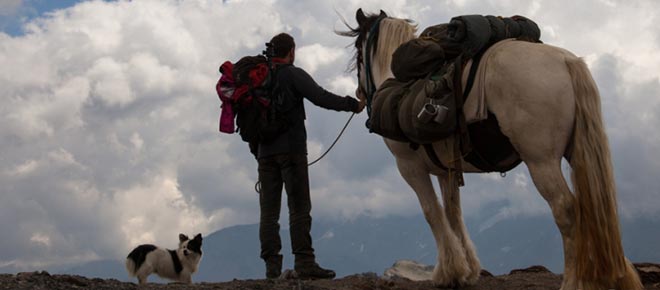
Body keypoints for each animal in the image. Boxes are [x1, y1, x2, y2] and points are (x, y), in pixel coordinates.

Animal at [338, 7, 640, 288]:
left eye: (358, 52)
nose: (359, 95)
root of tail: (566, 61)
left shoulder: (410, 168)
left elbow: (432, 213)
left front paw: (447, 272)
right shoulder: (446, 170)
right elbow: (453, 213)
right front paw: (465, 271)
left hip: (541, 161)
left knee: (566, 209)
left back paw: (572, 282)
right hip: (578, 154)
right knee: (596, 207)